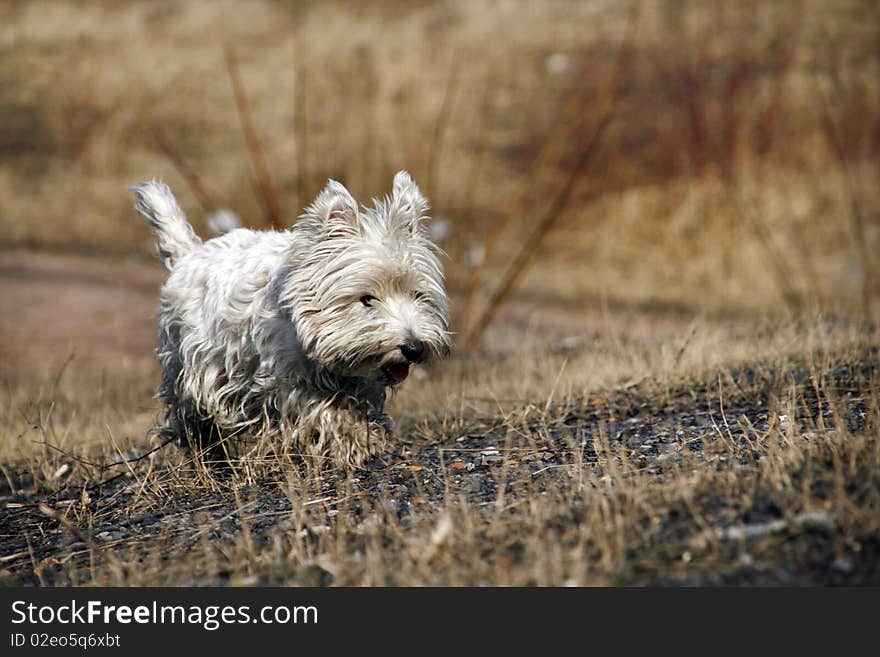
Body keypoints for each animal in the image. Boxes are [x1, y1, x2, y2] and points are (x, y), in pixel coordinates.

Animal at [132, 169, 454, 466]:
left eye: (417, 294)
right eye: (366, 298)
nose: (413, 347)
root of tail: (189, 253)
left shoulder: (360, 379)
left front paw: (371, 432)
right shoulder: (285, 381)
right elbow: (322, 409)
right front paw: (357, 438)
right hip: (190, 367)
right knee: (191, 416)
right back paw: (210, 456)